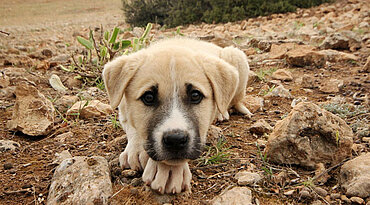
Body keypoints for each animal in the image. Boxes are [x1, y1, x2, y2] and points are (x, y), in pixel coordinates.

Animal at [102, 38, 250, 194]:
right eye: (148, 97)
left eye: (195, 95)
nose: (175, 140)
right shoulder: (122, 108)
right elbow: (133, 127)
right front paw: (137, 150)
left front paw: (168, 170)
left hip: (237, 58)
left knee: (234, 99)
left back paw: (225, 112)